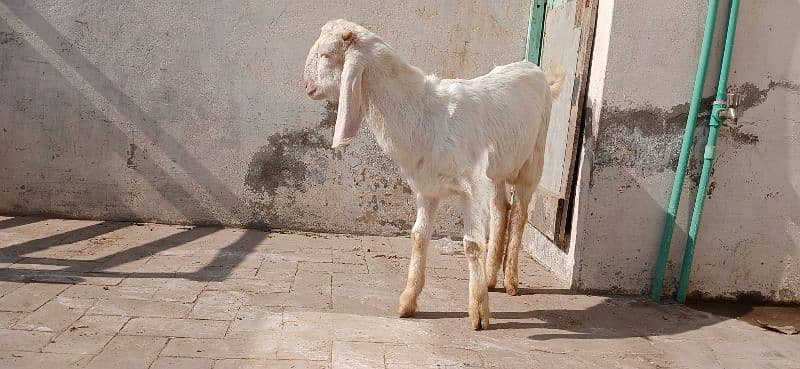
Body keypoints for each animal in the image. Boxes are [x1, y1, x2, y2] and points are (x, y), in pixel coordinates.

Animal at [302, 19, 564, 328]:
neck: (425, 114)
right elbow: (418, 237)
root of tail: (534, 68)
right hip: (496, 169)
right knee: (501, 208)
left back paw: (510, 281)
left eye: (325, 55)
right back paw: (490, 279)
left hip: (533, 161)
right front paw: (407, 302)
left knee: (520, 213)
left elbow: (472, 244)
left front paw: (478, 314)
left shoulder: (472, 186)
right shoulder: (427, 188)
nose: (307, 86)